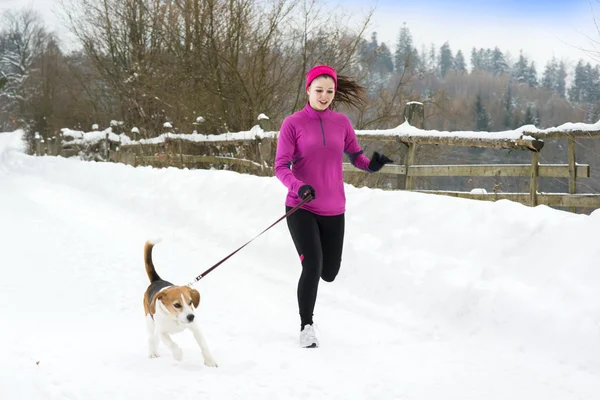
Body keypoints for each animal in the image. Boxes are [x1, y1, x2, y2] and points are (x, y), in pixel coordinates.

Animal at [143, 239, 218, 368]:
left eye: (190, 302)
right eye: (177, 305)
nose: (191, 317)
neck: (175, 319)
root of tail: (157, 280)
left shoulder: (196, 328)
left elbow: (204, 345)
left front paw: (210, 361)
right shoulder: (162, 332)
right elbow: (172, 344)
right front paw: (178, 355)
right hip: (149, 320)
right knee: (152, 338)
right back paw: (153, 352)